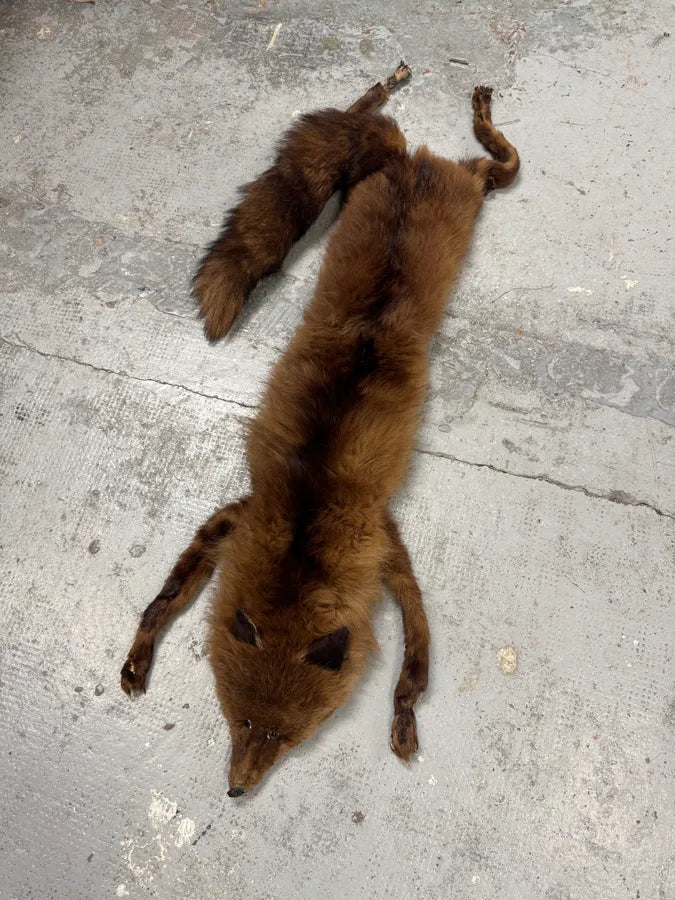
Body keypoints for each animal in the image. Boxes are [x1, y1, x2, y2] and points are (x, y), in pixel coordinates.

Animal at [121, 63, 520, 797]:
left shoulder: (387, 553)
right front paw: (138, 659)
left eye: (284, 736)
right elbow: (163, 599)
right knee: (357, 116)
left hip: (483, 185)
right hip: (403, 181)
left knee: (497, 157)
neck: (306, 526)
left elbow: (415, 668)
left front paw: (402, 721)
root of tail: (408, 164)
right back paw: (390, 87)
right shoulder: (238, 516)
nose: (235, 790)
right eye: (239, 720)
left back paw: (468, 110)